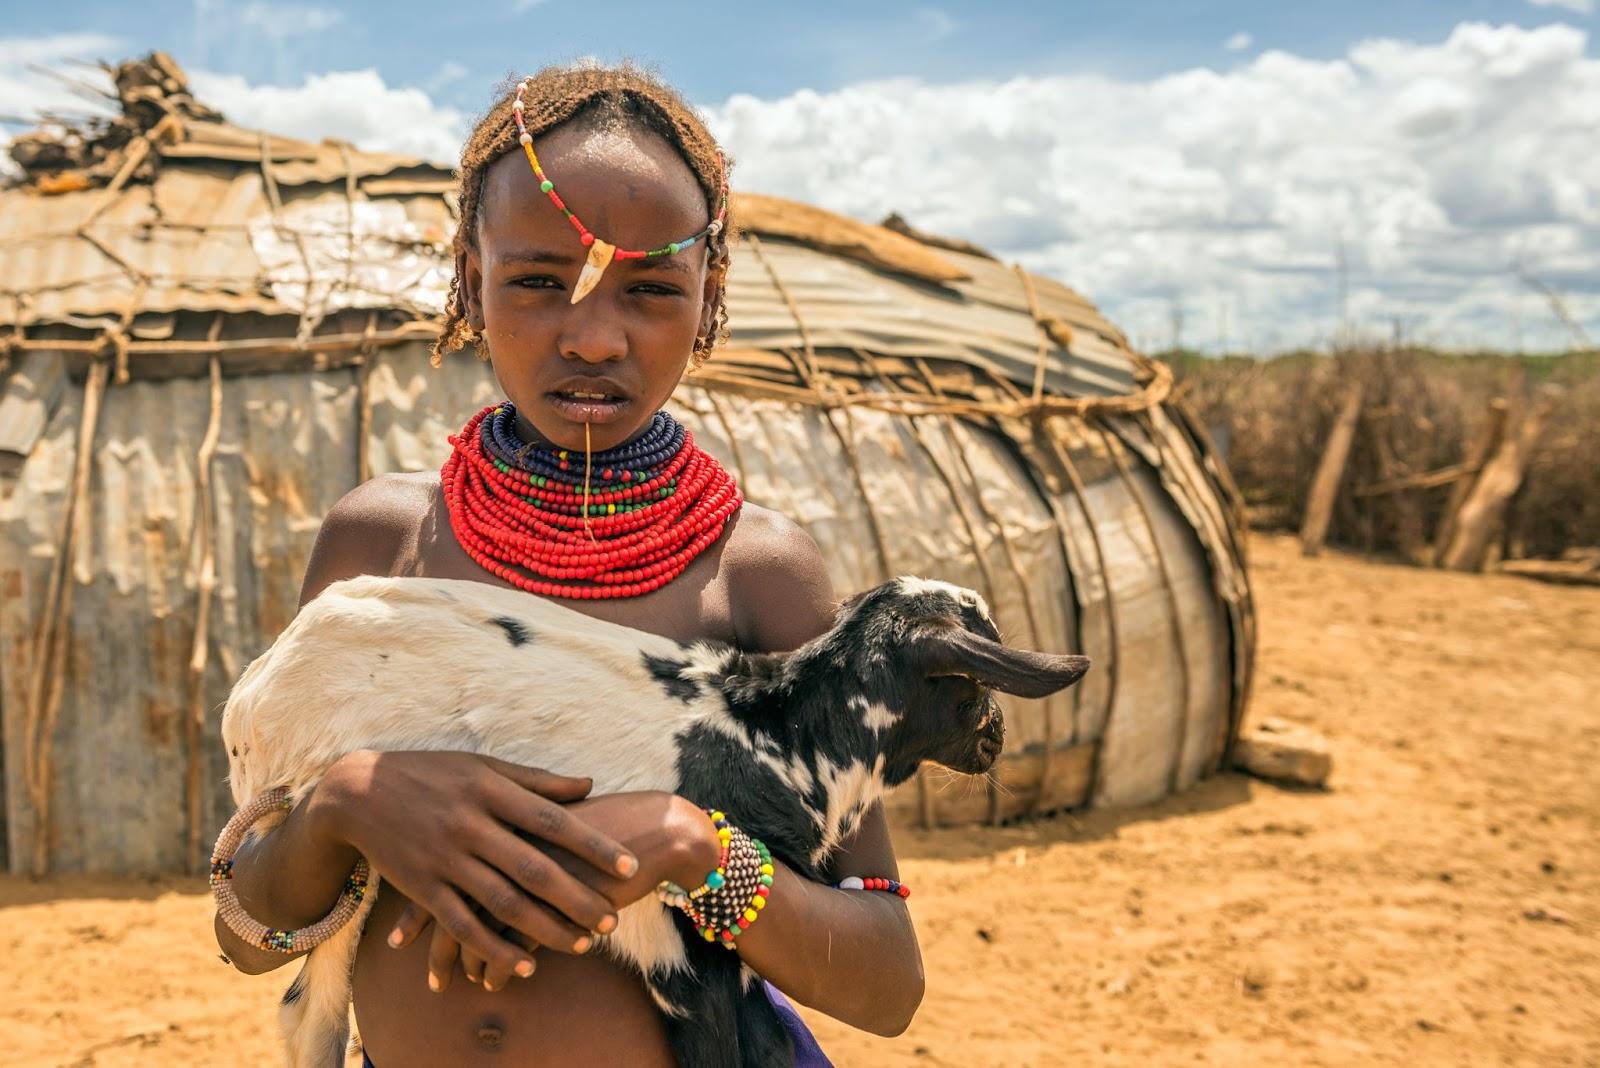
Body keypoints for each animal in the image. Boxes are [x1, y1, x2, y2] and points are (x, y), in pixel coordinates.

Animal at [222, 575, 1088, 1068]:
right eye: (974, 677)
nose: (996, 738)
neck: (776, 732)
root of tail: (254, 687)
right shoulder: (687, 955)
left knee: (308, 1019)